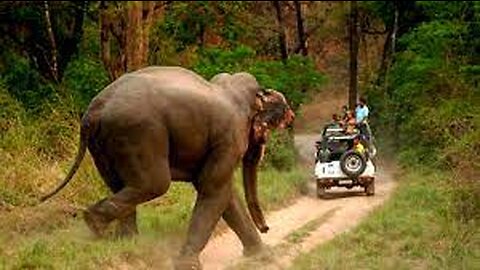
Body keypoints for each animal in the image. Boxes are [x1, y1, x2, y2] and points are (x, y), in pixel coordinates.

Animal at [40, 66, 296, 268]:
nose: (267, 228)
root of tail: (92, 113)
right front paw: (187, 265)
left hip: (104, 145)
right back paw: (96, 225)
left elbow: (224, 193)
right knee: (154, 184)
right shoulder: (229, 138)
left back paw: (128, 243)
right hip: (139, 133)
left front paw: (262, 256)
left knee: (120, 184)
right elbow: (213, 188)